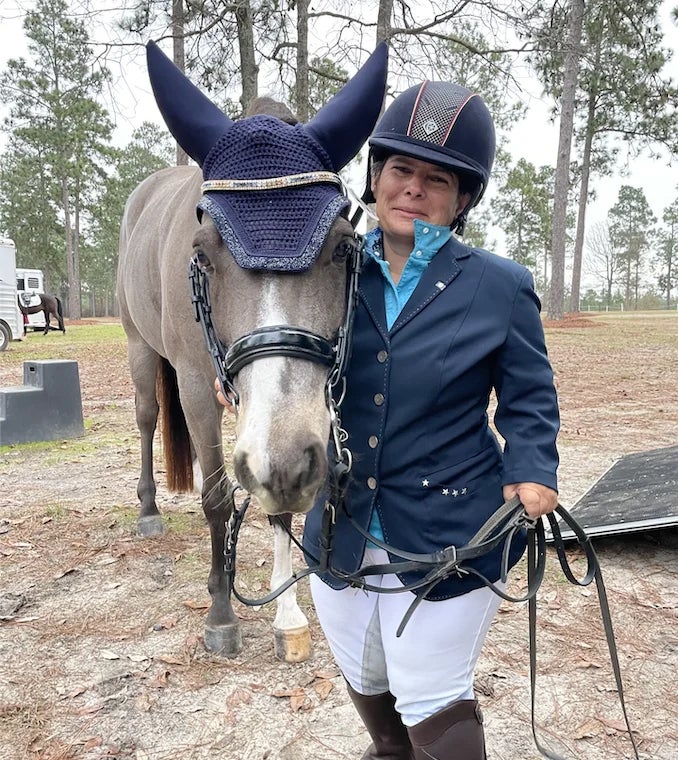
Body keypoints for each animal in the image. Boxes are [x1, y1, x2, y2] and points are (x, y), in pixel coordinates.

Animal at [117, 41, 387, 660]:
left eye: (343, 247)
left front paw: (288, 614)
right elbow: (218, 499)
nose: (280, 459)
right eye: (202, 253)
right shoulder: (198, 387)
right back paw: (148, 509)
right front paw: (221, 611)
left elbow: (281, 503)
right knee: (147, 419)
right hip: (140, 347)